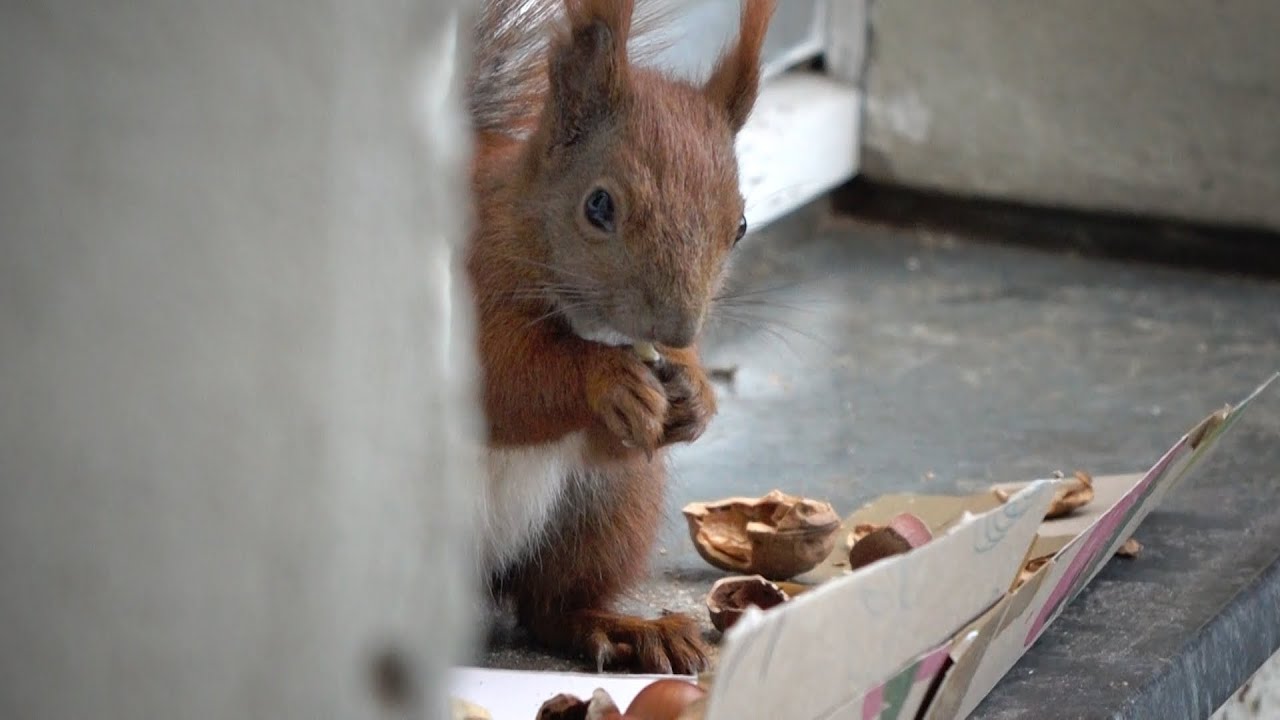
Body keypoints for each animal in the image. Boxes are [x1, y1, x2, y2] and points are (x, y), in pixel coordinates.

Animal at [465, 0, 775, 674]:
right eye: (599, 206)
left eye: (740, 224)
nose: (678, 327)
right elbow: (503, 383)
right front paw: (607, 379)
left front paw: (694, 391)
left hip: (605, 509)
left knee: (549, 609)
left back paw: (626, 630)